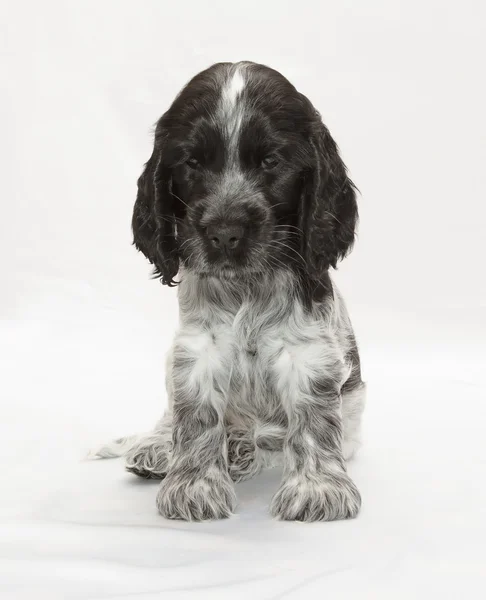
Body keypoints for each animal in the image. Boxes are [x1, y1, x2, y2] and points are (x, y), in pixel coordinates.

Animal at [98, 61, 364, 520]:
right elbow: (194, 418)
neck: (247, 288)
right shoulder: (195, 349)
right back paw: (160, 448)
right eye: (192, 161)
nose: (224, 233)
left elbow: (314, 421)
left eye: (271, 161)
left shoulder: (310, 353)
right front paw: (193, 487)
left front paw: (317, 490)